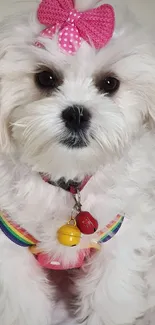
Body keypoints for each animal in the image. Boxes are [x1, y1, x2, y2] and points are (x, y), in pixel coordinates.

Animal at [0, 0, 155, 322]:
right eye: (45, 78)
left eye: (110, 83)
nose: (77, 114)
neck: (67, 177)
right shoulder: (9, 247)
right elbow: (23, 307)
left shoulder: (118, 242)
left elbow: (109, 300)